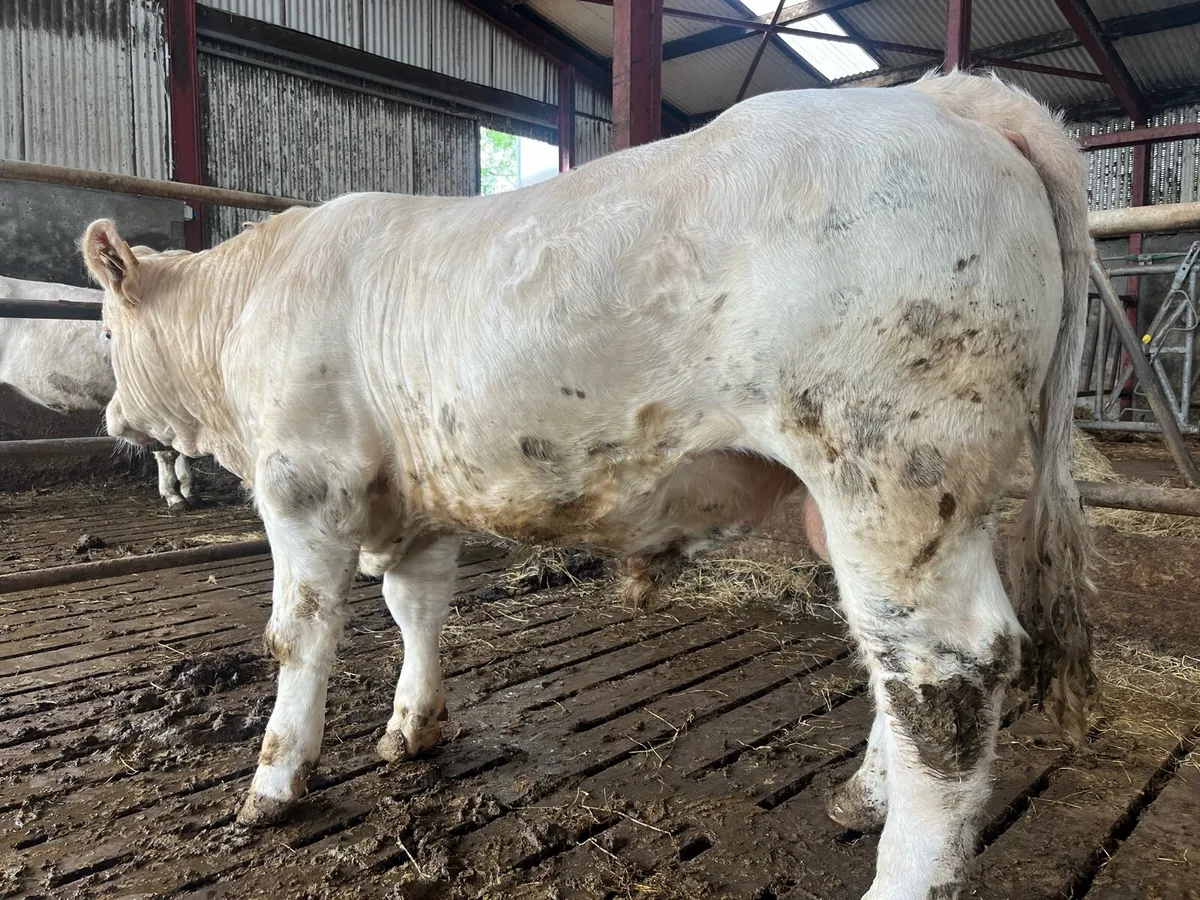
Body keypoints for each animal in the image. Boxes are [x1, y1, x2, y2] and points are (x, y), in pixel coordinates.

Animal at [83, 72, 1094, 899]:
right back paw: (862, 795)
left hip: (893, 469)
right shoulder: (418, 499)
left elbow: (298, 638)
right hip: (897, 502)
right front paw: (414, 725)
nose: (110, 416)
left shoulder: (305, 483)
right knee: (892, 662)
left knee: (946, 671)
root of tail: (947, 96)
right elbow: (419, 608)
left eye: (103, 331)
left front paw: (275, 781)